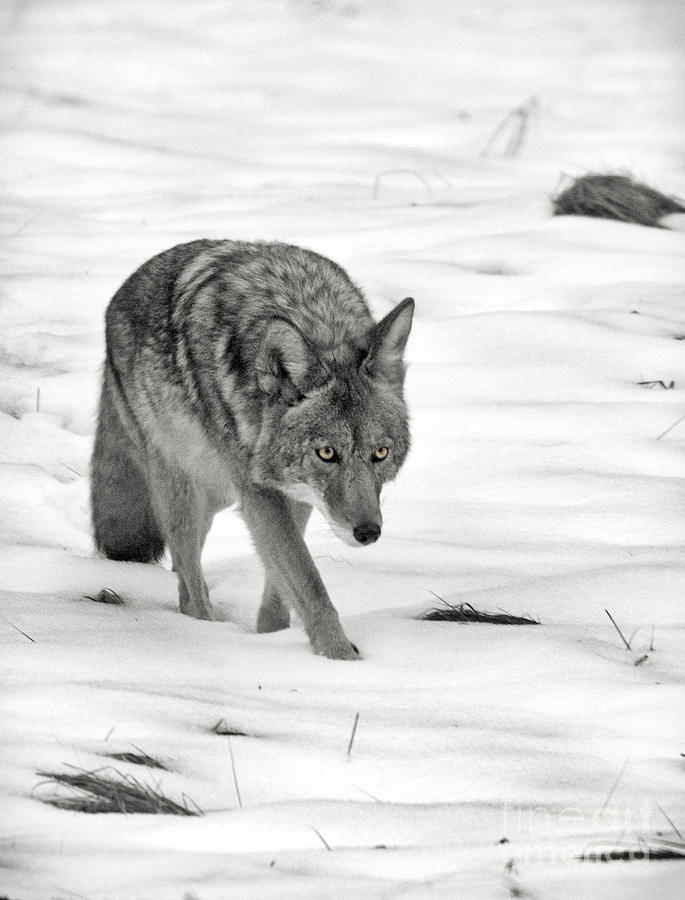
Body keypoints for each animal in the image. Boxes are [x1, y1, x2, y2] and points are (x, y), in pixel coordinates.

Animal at [90, 243, 412, 656]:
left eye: (380, 454)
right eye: (327, 453)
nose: (368, 532)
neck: (313, 316)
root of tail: (117, 298)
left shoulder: (295, 495)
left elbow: (282, 588)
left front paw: (273, 638)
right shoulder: (259, 494)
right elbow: (309, 582)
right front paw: (339, 657)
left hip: (215, 496)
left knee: (185, 572)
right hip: (182, 489)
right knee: (190, 589)